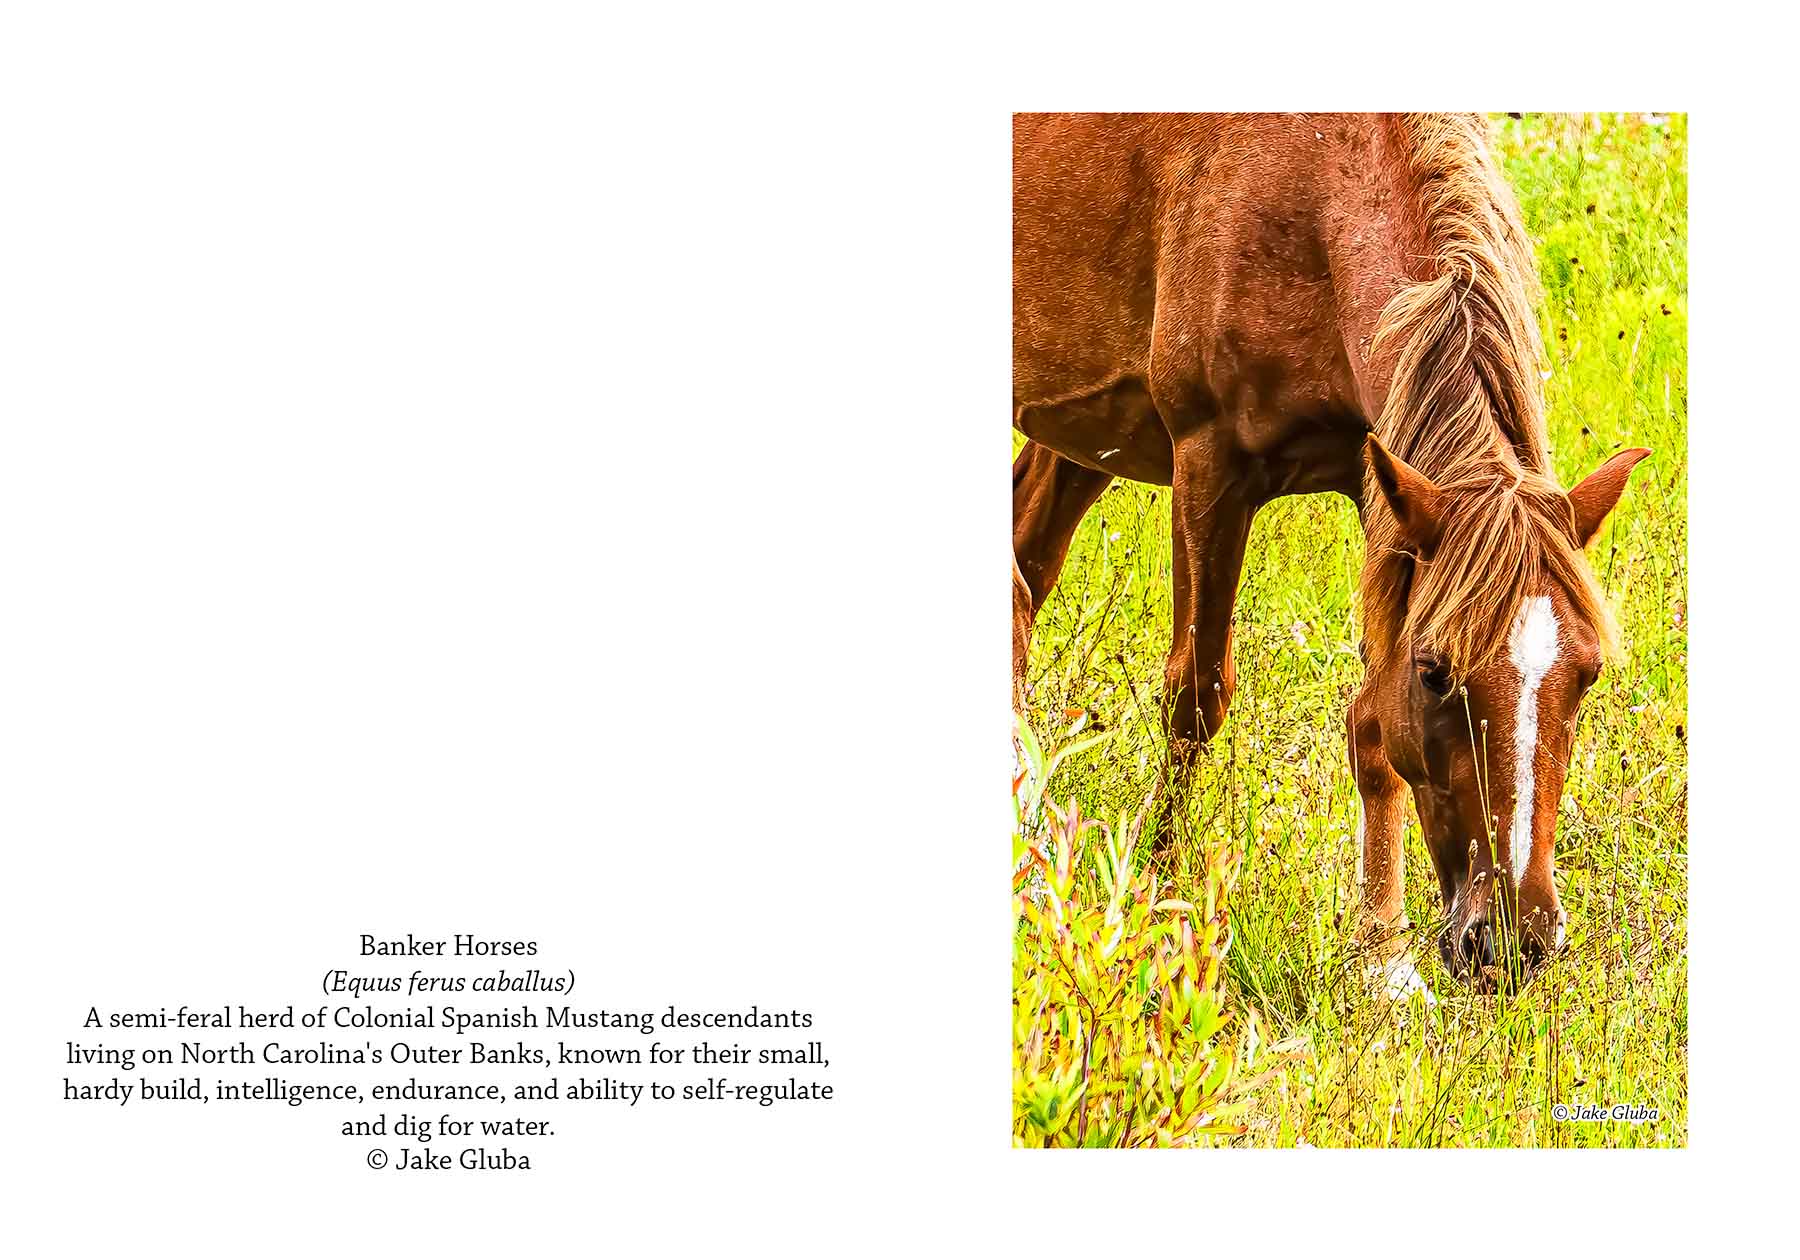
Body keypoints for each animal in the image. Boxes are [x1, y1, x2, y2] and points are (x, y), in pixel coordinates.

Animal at [1012, 113, 1649, 993]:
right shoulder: (1209, 464)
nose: (1512, 942)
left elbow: (1372, 725)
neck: (1313, 195)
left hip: (1080, 436)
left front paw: (1382, 953)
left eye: (1587, 674)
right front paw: (1160, 893)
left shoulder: (1380, 474)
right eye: (1437, 673)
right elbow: (1195, 695)